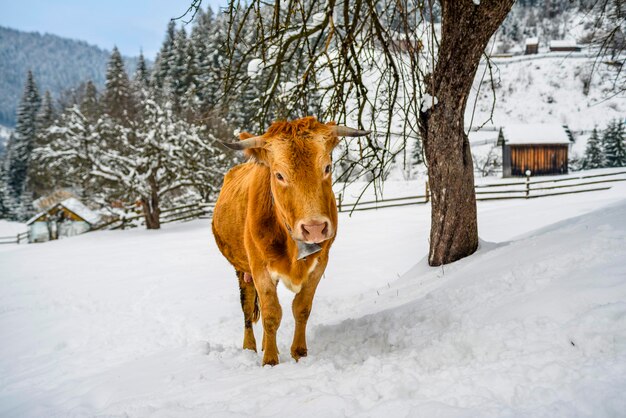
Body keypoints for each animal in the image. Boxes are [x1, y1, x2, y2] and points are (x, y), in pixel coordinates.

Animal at [211, 117, 366, 366]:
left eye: (327, 167)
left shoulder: (320, 263)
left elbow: (301, 307)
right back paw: (250, 348)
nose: (314, 228)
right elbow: (271, 314)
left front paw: (299, 352)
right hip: (242, 271)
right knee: (248, 310)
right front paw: (270, 360)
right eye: (279, 175)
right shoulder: (259, 268)